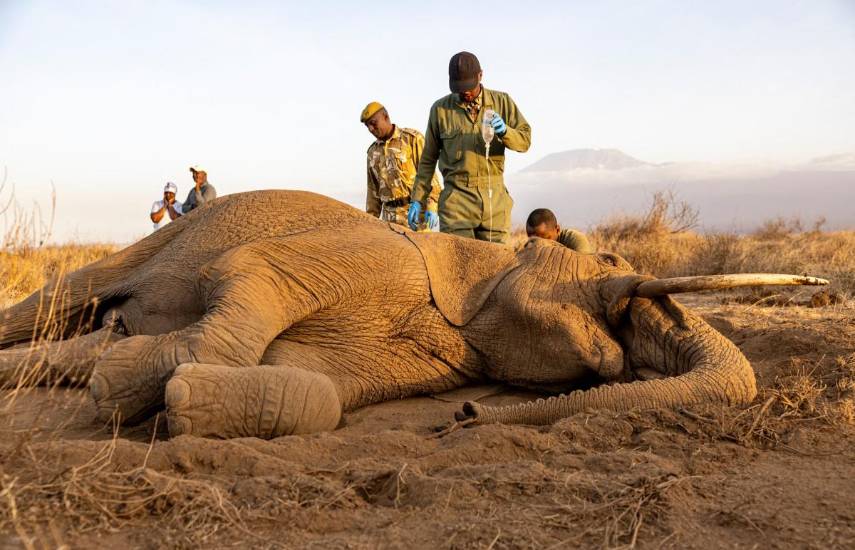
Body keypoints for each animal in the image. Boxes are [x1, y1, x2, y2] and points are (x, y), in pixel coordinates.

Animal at [0, 191, 827, 438]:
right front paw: (129, 388)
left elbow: (319, 391)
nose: (464, 414)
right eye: (609, 269)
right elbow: (247, 273)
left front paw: (177, 404)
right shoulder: (383, 257)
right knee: (63, 297)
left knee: (67, 344)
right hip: (153, 239)